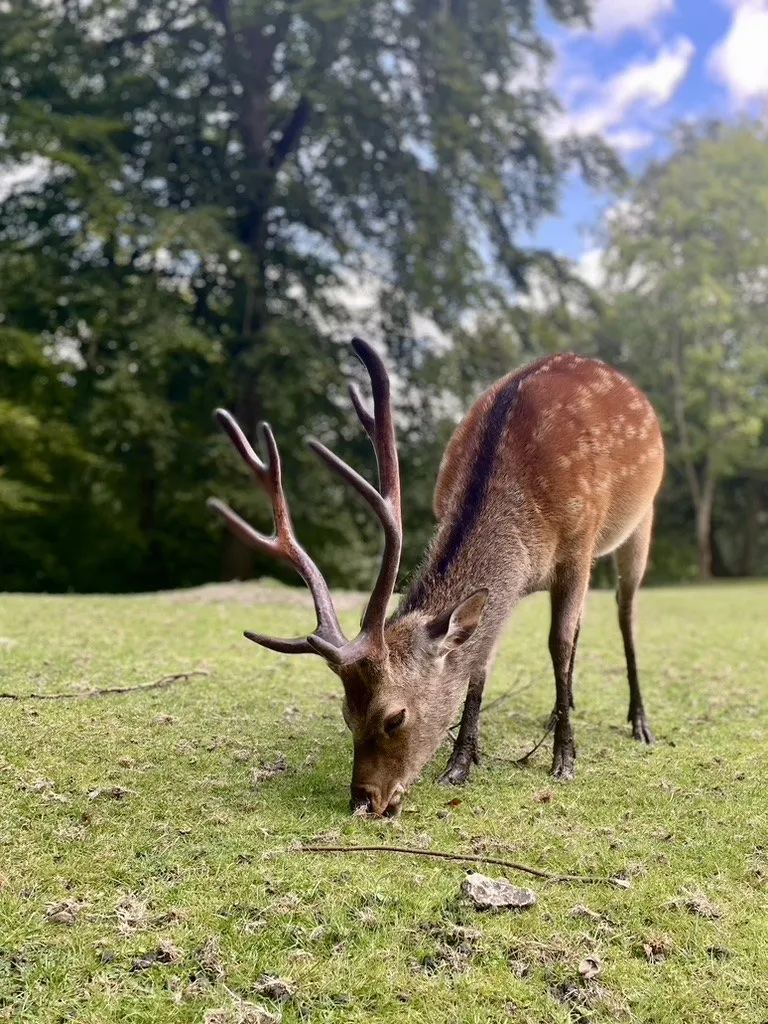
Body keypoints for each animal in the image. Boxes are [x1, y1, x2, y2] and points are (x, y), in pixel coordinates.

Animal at [209, 338, 665, 817]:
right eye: (347, 716)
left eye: (395, 717)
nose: (364, 800)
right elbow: (482, 660)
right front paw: (461, 763)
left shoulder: (578, 546)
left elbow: (558, 643)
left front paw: (564, 759)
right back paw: (565, 707)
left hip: (640, 520)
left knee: (624, 614)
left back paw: (638, 721)